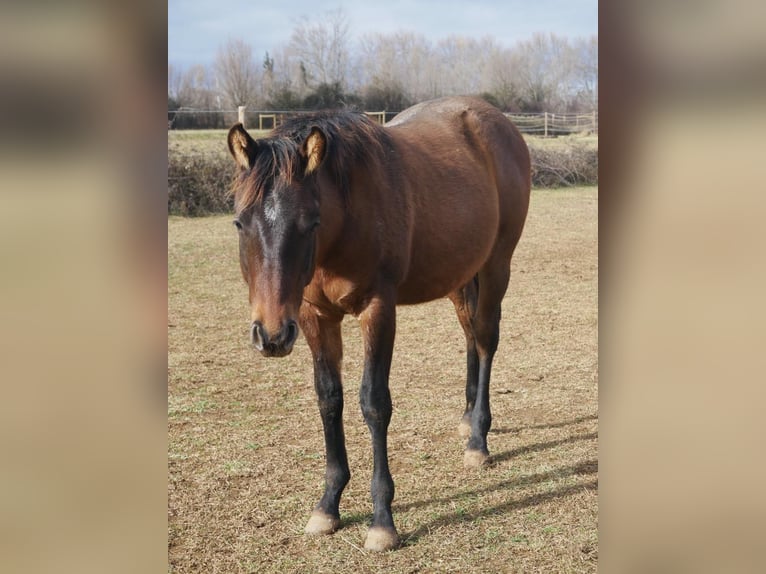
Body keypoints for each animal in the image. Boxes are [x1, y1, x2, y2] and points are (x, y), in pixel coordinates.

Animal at [225, 95, 532, 552]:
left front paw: (382, 521)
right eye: (240, 222)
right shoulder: (315, 316)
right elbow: (329, 399)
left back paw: (478, 438)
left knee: (485, 340)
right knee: (469, 334)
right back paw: (466, 418)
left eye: (310, 222)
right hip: (460, 275)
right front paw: (328, 505)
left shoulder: (378, 310)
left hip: (497, 265)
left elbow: (374, 402)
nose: (272, 335)